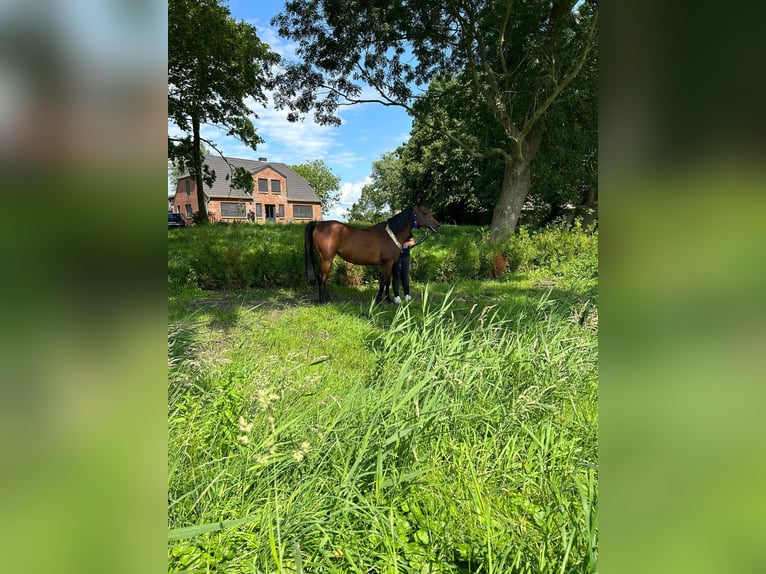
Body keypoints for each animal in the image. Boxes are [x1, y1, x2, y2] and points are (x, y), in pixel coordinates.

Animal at [304, 207, 440, 306]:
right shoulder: (388, 263)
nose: (438, 226)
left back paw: (328, 299)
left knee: (323, 278)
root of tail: (319, 224)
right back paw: (323, 301)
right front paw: (379, 301)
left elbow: (387, 282)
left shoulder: (387, 264)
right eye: (424, 213)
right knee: (322, 278)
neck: (392, 234)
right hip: (326, 259)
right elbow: (382, 282)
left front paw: (388, 300)